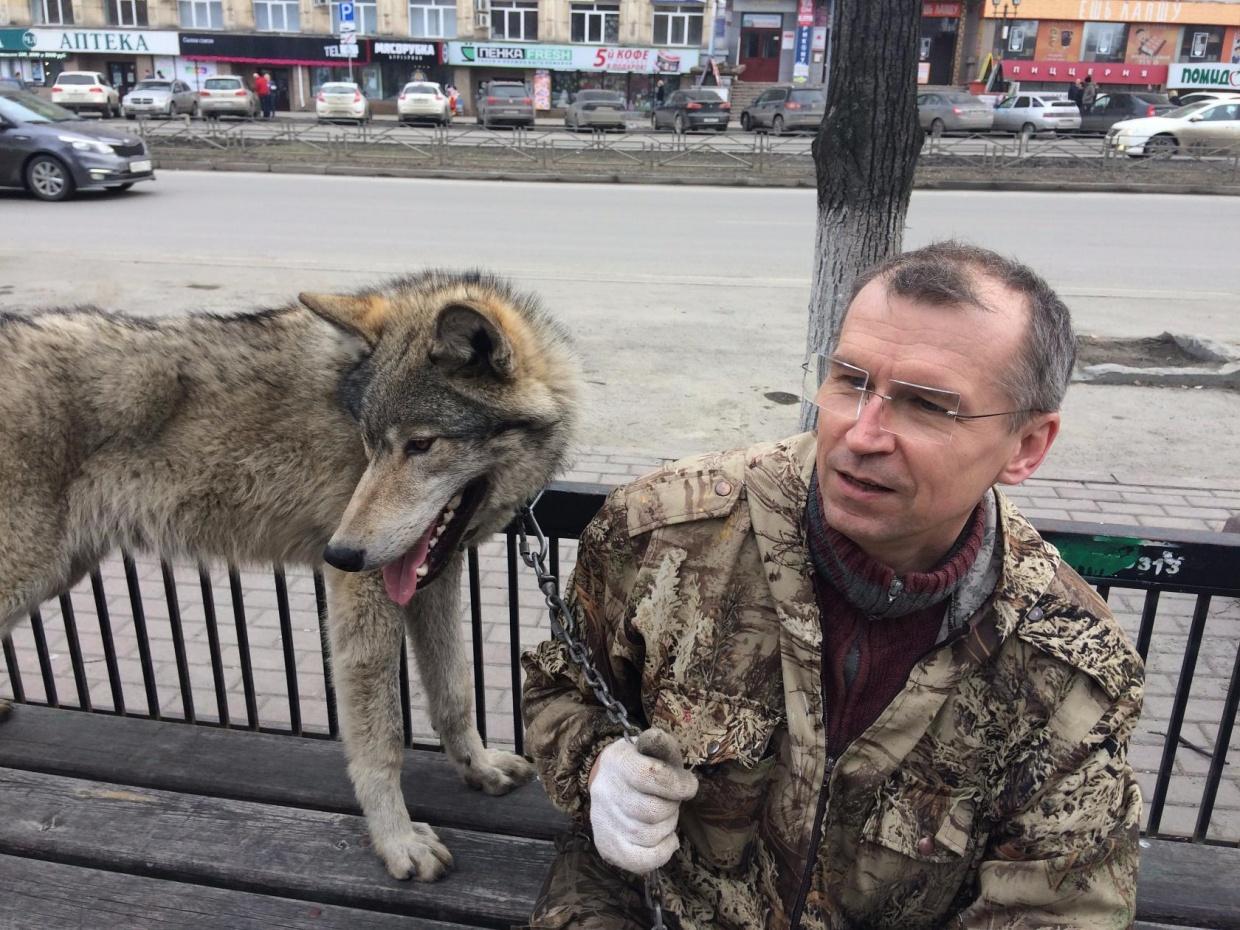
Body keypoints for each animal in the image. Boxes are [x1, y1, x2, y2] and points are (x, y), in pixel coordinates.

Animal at [0, 272, 580, 882]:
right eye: (369, 442)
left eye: (421, 444)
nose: (340, 553)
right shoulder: (362, 596)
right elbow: (382, 738)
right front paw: (397, 841)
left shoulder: (432, 580)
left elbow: (455, 691)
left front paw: (480, 768)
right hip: (33, 571)